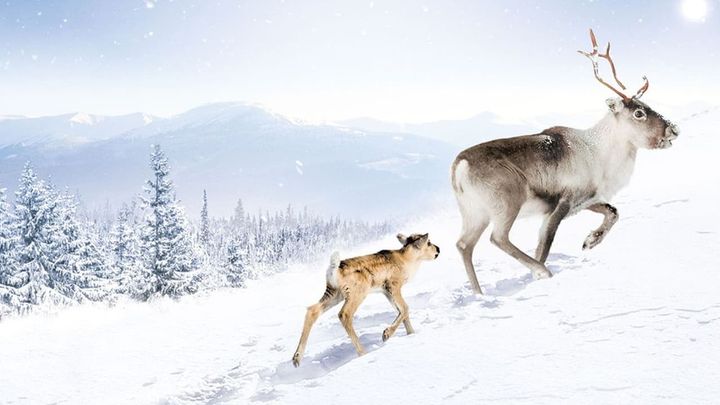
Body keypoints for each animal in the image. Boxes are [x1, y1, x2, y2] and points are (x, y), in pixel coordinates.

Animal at [292, 230, 438, 366]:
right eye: (428, 242)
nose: (438, 249)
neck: (407, 260)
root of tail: (334, 269)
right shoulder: (394, 285)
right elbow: (406, 308)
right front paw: (386, 334)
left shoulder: (386, 291)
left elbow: (402, 311)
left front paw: (411, 333)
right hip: (357, 293)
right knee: (344, 314)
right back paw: (362, 352)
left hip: (334, 294)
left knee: (312, 310)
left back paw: (296, 358)